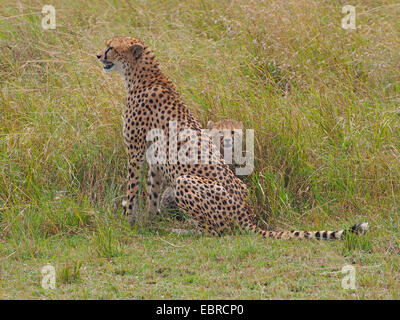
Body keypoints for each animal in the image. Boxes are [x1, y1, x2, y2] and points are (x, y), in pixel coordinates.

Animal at [95, 35, 368, 240]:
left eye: (111, 47)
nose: (98, 56)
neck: (143, 76)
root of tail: (248, 215)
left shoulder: (135, 151)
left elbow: (131, 190)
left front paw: (127, 223)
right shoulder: (154, 155)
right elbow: (152, 192)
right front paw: (150, 222)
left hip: (185, 182)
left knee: (217, 231)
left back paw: (183, 231)